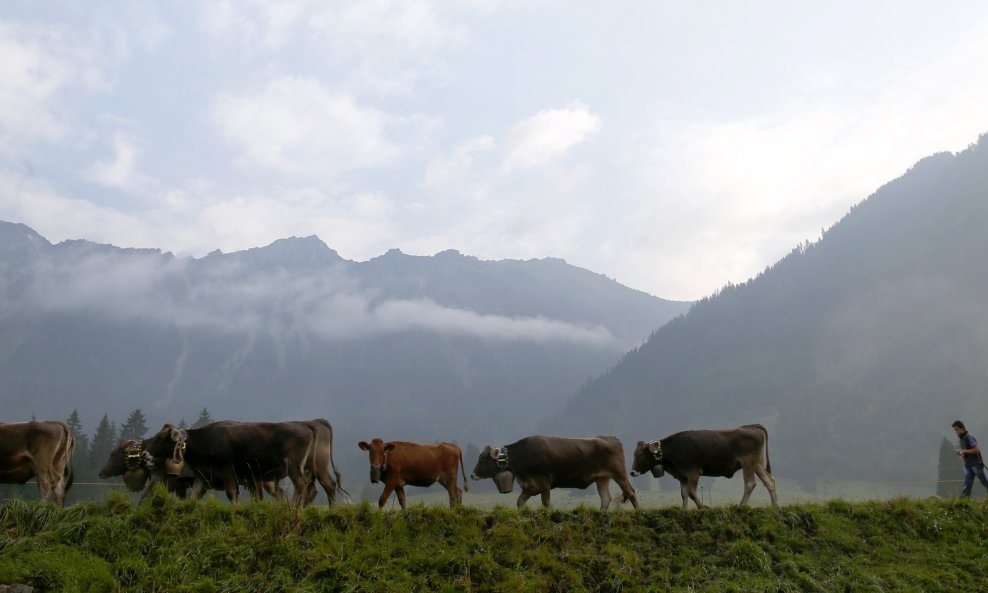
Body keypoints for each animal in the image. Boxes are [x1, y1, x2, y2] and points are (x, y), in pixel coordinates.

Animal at [140, 420, 312, 504]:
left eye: (161, 438)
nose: (144, 454)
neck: (204, 441)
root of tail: (305, 427)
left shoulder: (227, 471)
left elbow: (232, 494)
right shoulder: (202, 476)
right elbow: (194, 497)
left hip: (294, 467)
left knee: (301, 488)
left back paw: (295, 507)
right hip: (270, 478)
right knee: (283, 493)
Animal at [466, 432, 636, 512]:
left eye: (482, 458)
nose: (472, 475)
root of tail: (611, 438)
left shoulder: (544, 481)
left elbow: (546, 503)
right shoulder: (530, 485)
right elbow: (520, 501)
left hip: (618, 472)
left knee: (630, 491)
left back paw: (637, 510)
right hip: (602, 478)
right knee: (605, 498)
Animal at [632, 420, 780, 508]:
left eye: (640, 455)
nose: (632, 472)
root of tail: (752, 426)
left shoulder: (693, 472)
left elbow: (691, 493)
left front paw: (703, 507)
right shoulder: (682, 476)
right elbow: (684, 495)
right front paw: (684, 510)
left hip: (747, 462)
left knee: (750, 484)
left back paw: (741, 506)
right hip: (757, 463)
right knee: (769, 481)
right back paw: (775, 506)